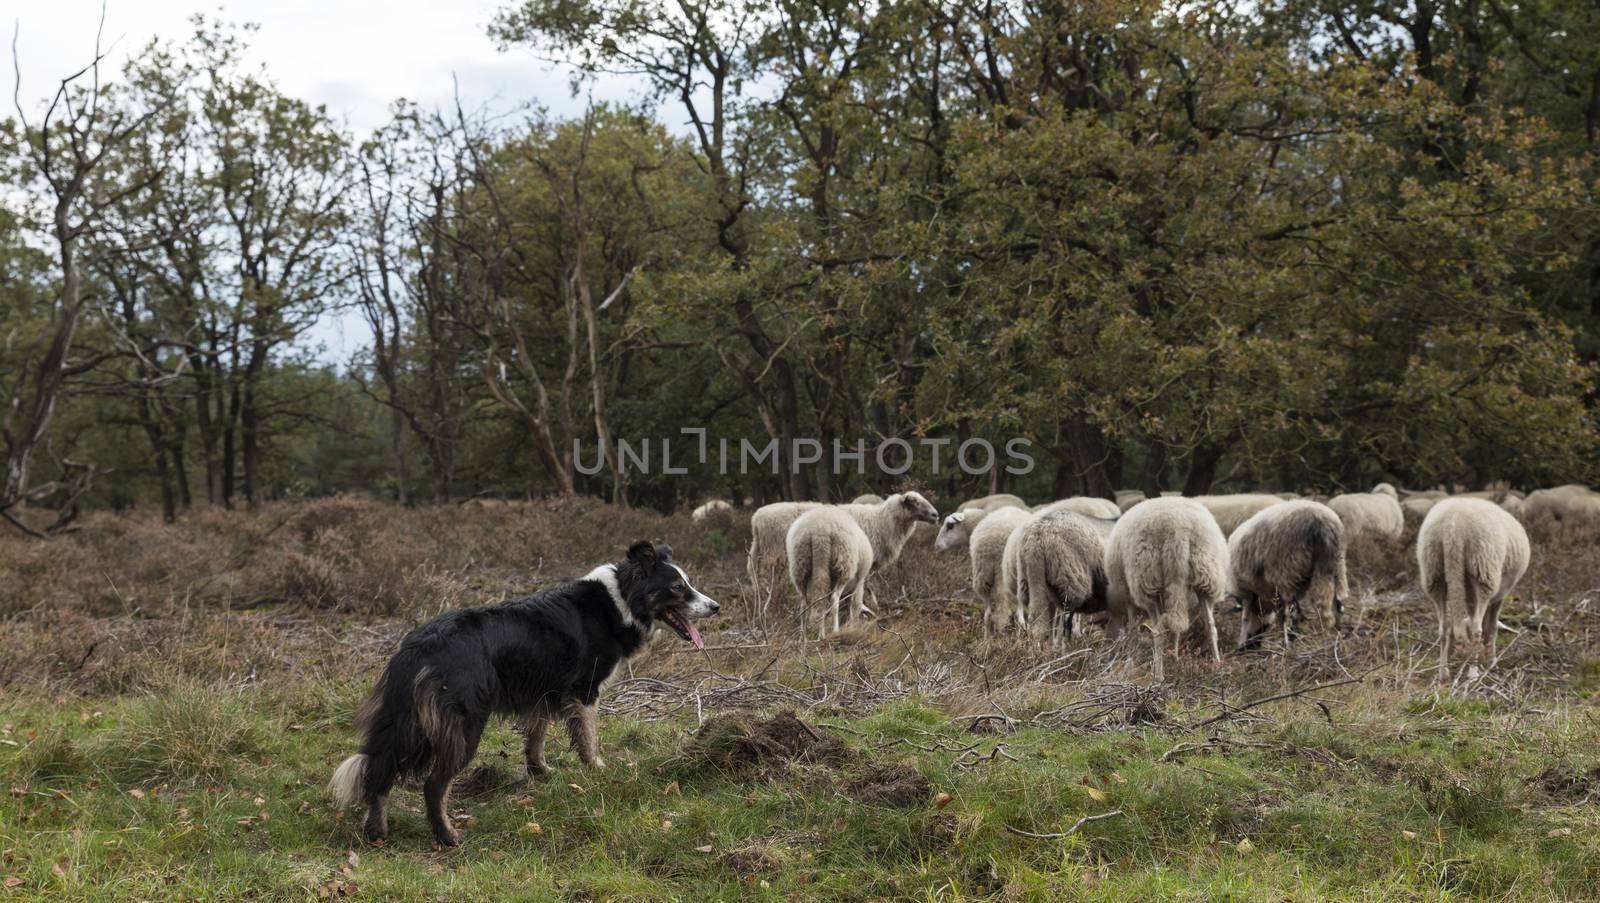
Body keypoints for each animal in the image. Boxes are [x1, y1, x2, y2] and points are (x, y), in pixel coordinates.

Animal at [331, 544, 720, 845]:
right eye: (677, 587)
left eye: (687, 584)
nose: (716, 607)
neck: (622, 599)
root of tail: (417, 648)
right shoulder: (584, 690)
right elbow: (588, 736)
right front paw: (597, 769)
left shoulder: (544, 691)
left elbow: (537, 736)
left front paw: (541, 772)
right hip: (463, 723)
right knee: (433, 784)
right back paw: (447, 836)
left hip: (406, 720)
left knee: (379, 771)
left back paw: (377, 831)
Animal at [998, 509, 1113, 650]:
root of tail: (1037, 537)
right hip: (1070, 582)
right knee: (1065, 622)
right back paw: (1065, 650)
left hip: (1034, 581)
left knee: (1042, 619)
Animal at [1107, 496, 1228, 682]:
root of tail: (1179, 528)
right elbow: (1176, 629)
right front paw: (1175, 658)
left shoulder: (1129, 596)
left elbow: (1133, 630)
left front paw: (1129, 664)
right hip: (1206, 574)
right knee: (1210, 626)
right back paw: (1217, 667)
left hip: (1148, 580)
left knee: (1158, 631)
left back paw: (1158, 676)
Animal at [1222, 499, 1350, 650]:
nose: (1252, 646)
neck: (1262, 602)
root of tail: (1321, 520)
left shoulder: (1249, 593)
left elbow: (1246, 617)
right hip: (1337, 565)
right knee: (1339, 605)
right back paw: (1339, 635)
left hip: (1286, 571)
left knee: (1286, 614)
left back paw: (1286, 644)